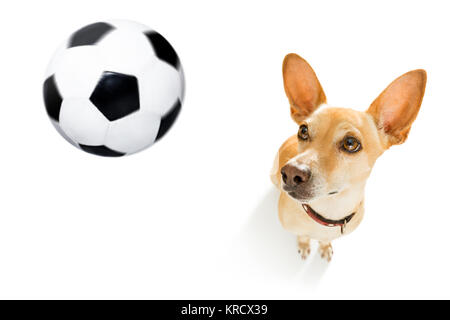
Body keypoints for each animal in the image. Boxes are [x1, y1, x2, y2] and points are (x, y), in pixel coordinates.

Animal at [270, 53, 426, 262]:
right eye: (303, 130)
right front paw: (303, 244)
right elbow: (302, 235)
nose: (290, 173)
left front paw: (324, 246)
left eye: (350, 143)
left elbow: (325, 240)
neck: (328, 213)